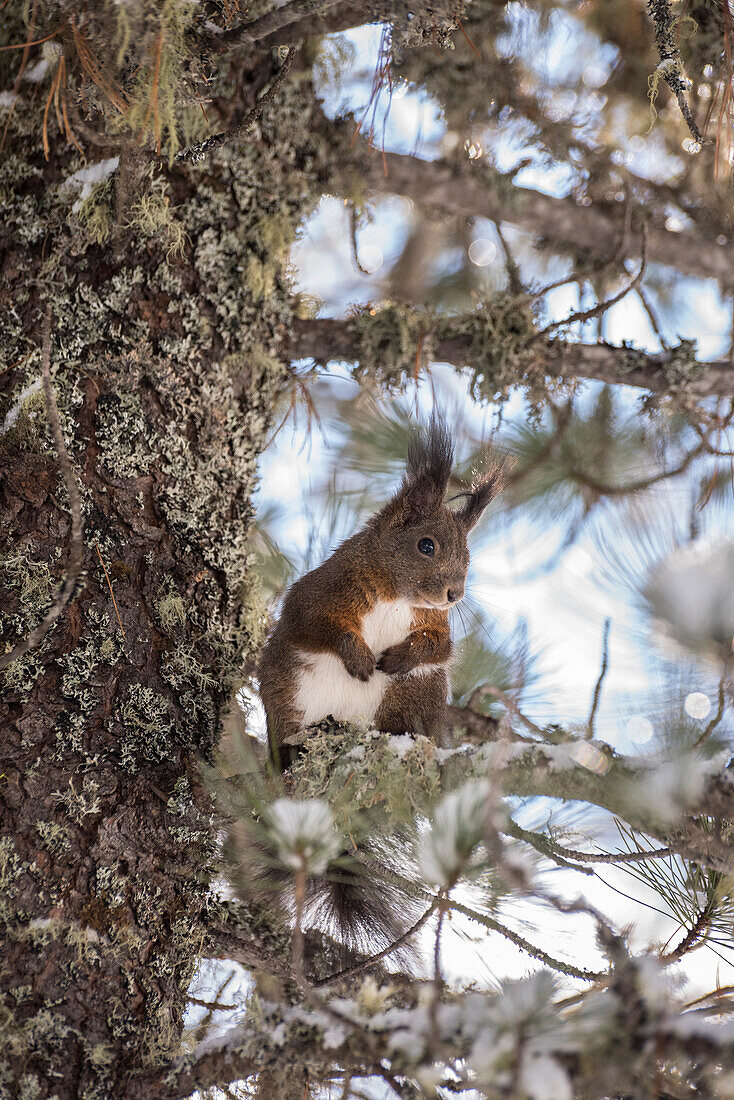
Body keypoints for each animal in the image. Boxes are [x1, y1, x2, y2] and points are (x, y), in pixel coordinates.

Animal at [258, 415, 506, 770]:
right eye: (426, 545)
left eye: (468, 558)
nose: (455, 595)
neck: (397, 596)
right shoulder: (317, 593)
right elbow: (317, 623)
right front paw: (359, 656)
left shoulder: (436, 623)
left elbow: (439, 647)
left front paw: (402, 656)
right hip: (284, 688)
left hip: (418, 691)